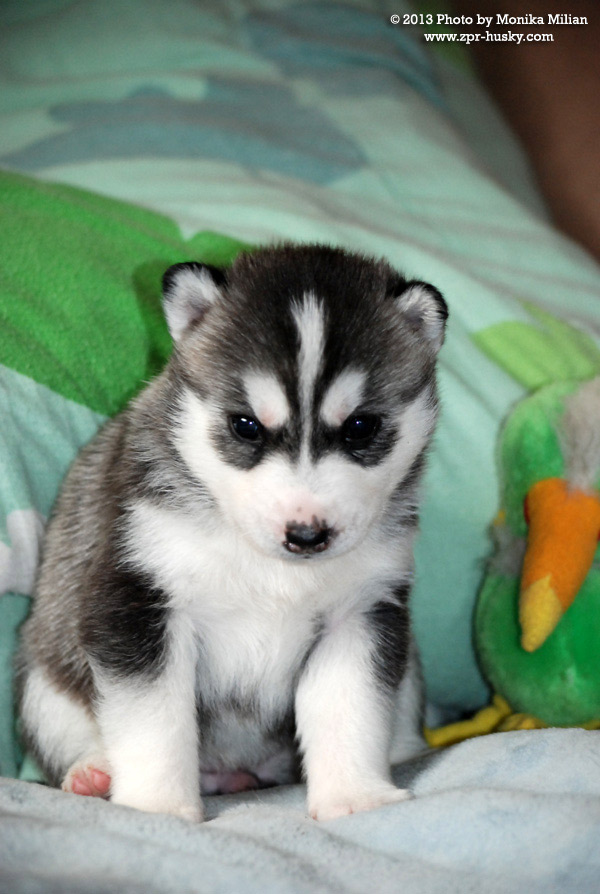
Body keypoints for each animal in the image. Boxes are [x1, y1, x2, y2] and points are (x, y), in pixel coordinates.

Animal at [16, 243, 447, 821]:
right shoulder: (139, 600)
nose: (306, 534)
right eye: (246, 426)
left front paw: (355, 797)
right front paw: (158, 807)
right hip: (43, 681)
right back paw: (91, 773)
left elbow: (349, 707)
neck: (273, 568)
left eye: (361, 427)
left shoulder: (361, 612)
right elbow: (155, 720)